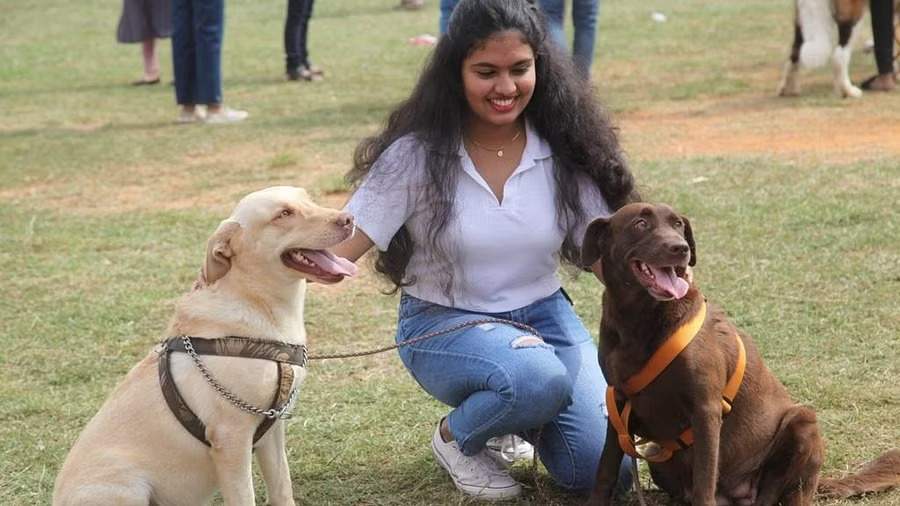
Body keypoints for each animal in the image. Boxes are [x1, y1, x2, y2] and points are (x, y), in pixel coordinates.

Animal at [51, 186, 356, 506]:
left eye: (308, 199)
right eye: (284, 214)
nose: (348, 219)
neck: (258, 305)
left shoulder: (273, 430)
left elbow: (282, 488)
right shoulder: (231, 438)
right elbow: (244, 497)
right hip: (127, 486)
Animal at [580, 203, 896, 506]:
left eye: (678, 225)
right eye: (640, 224)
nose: (680, 249)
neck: (641, 320)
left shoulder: (706, 409)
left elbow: (704, 482)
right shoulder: (619, 405)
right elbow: (605, 467)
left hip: (802, 423)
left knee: (775, 495)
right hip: (657, 452)